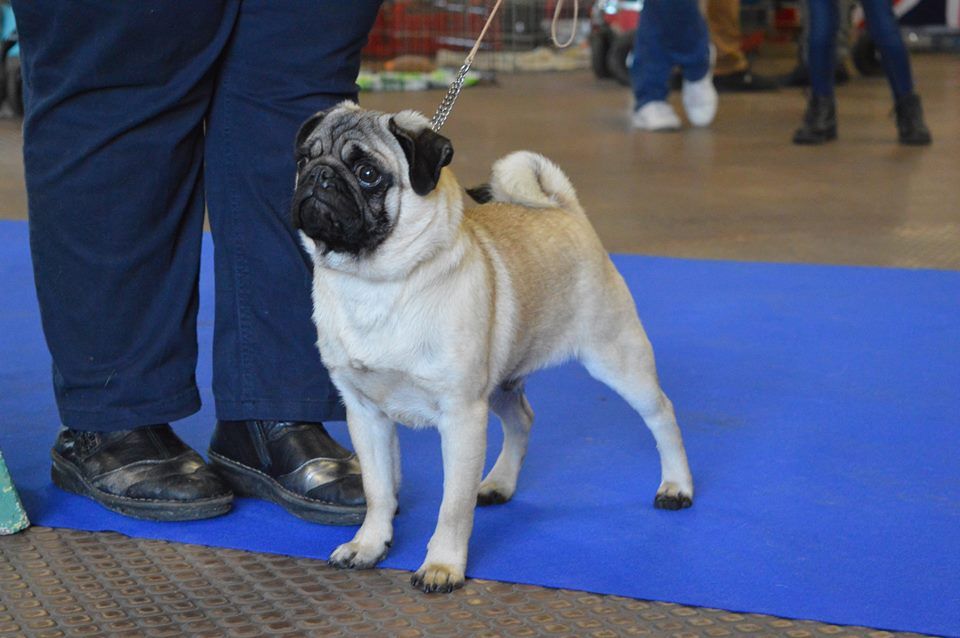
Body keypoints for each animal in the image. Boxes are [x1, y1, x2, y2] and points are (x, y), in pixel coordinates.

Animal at [288, 102, 692, 596]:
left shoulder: (462, 416)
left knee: (662, 414)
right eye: (304, 159)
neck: (375, 284)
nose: (321, 175)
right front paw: (369, 545)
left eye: (367, 174)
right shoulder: (365, 414)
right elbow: (378, 491)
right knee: (522, 420)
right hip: (501, 383)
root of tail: (565, 210)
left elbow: (453, 506)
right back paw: (499, 482)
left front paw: (443, 565)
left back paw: (676, 486)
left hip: (616, 356)